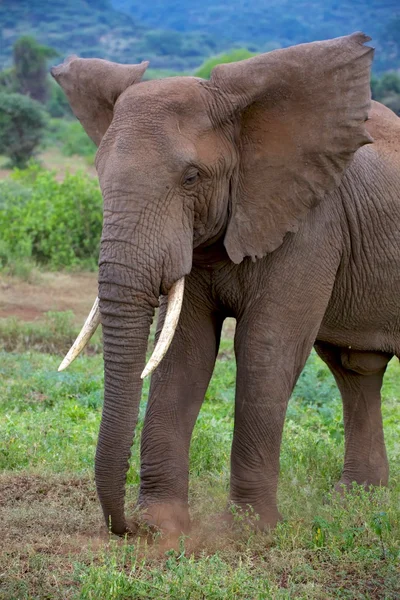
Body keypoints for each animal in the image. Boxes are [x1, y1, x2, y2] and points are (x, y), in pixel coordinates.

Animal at [52, 32, 400, 536]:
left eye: (191, 177)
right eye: (98, 173)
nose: (128, 528)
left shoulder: (312, 221)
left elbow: (266, 348)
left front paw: (249, 531)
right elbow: (184, 352)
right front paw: (164, 526)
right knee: (356, 369)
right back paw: (356, 500)